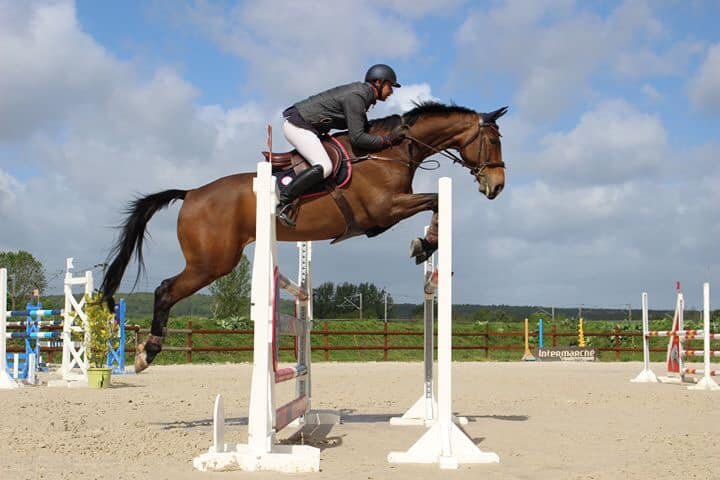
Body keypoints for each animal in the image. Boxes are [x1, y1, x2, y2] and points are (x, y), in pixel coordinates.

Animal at [99, 101, 507, 372]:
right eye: (492, 140)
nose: (498, 185)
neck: (390, 152)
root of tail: (191, 194)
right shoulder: (384, 211)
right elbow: (435, 199)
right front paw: (425, 244)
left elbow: (434, 201)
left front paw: (425, 247)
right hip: (210, 263)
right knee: (165, 290)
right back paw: (147, 352)